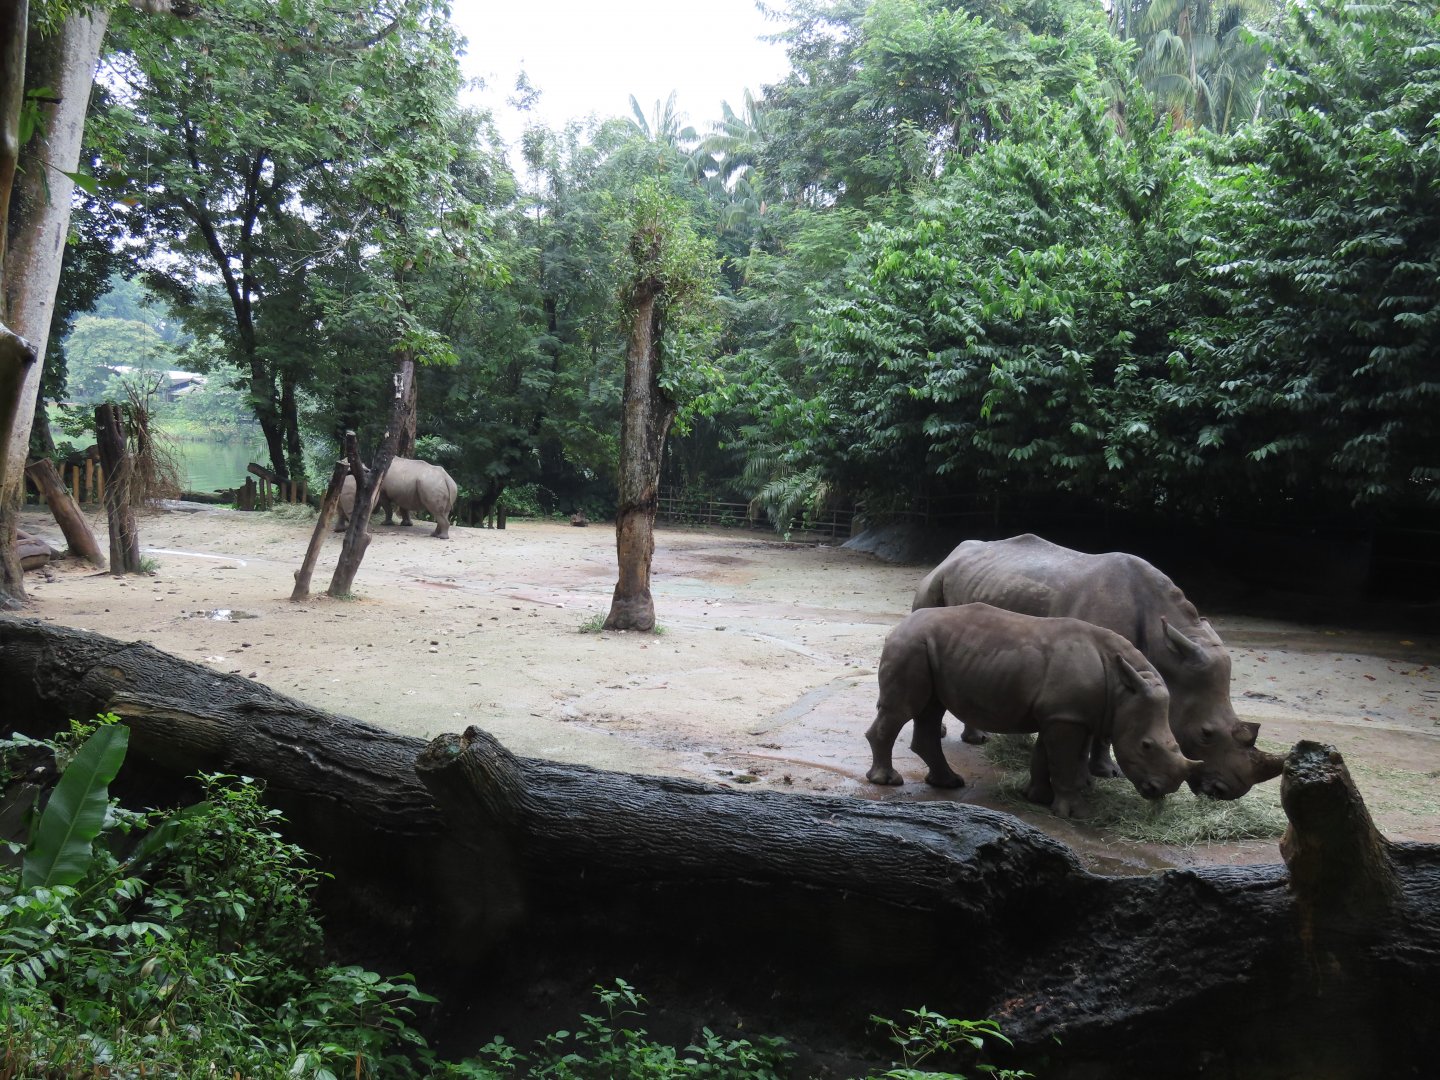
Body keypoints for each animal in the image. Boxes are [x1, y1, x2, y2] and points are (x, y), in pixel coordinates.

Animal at [866, 604, 1197, 817]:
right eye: (1146, 745)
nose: (1160, 790)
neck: (1123, 688)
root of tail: (898, 626)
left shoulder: (1064, 714)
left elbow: (1047, 756)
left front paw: (1037, 797)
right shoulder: (1066, 717)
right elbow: (1064, 761)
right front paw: (1073, 813)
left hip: (925, 648)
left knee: (931, 709)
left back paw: (948, 783)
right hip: (910, 645)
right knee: (904, 710)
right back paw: (887, 781)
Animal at [911, 533, 1284, 799]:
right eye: (1206, 733)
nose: (1227, 792)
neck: (1163, 643)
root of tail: (954, 552)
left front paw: (1106, 772)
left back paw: (978, 738)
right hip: (933, 583)